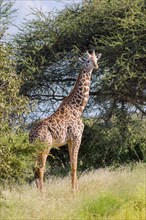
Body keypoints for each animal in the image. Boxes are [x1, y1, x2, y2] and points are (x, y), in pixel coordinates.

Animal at [28, 49, 101, 191]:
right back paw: (43, 194)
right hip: (45, 146)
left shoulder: (69, 141)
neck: (78, 108)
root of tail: (31, 136)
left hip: (35, 149)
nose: (96, 66)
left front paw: (75, 189)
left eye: (96, 59)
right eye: (87, 60)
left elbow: (72, 165)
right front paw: (74, 191)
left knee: (34, 169)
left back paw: (38, 192)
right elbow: (75, 166)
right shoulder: (77, 137)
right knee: (41, 169)